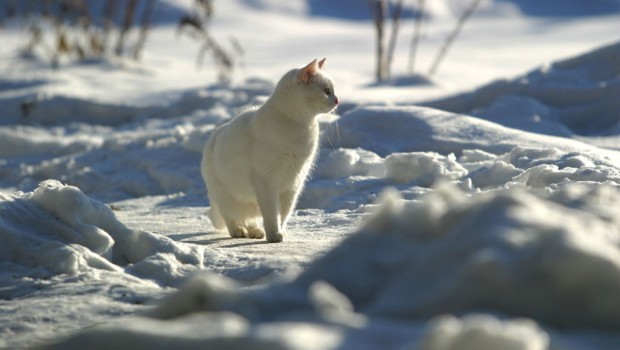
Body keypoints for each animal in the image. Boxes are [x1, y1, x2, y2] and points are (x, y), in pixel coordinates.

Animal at [201, 58, 340, 242]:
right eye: (326, 91)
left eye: (333, 90)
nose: (337, 100)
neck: (300, 125)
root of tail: (212, 138)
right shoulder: (267, 182)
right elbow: (272, 214)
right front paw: (274, 235)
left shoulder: (294, 184)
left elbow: (284, 213)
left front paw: (280, 231)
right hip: (226, 196)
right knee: (230, 216)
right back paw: (239, 230)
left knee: (251, 218)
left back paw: (255, 231)